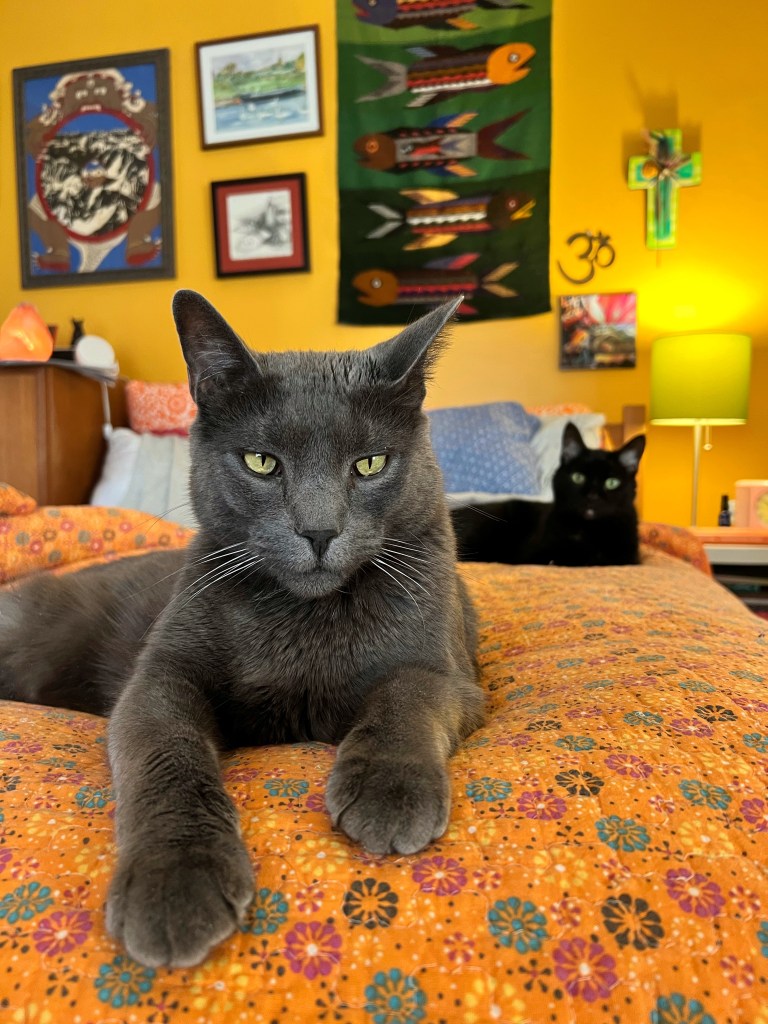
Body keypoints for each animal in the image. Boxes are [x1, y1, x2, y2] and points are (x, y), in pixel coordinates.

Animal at [0, 290, 484, 969]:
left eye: (370, 464)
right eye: (261, 462)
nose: (318, 530)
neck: (304, 618)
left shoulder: (449, 669)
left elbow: (408, 694)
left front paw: (389, 790)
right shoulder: (159, 677)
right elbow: (165, 750)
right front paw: (176, 882)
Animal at [451, 422, 646, 566]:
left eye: (612, 483)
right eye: (578, 477)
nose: (592, 497)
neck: (589, 530)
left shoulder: (629, 558)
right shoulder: (534, 554)